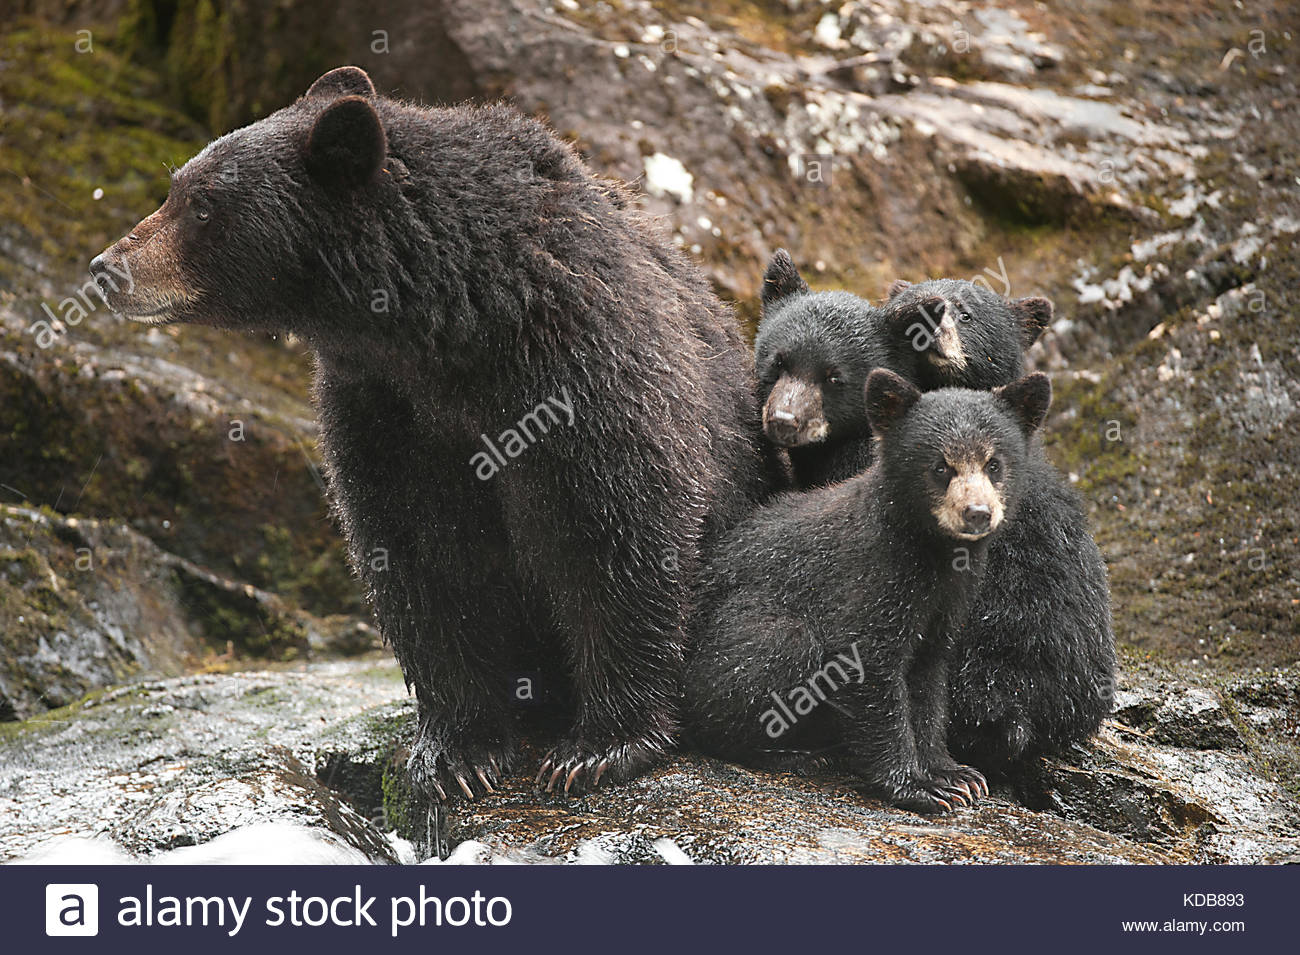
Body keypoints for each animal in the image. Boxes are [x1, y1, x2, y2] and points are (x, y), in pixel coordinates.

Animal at [89, 66, 773, 800]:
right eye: (177, 187)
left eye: (202, 204)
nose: (106, 267)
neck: (448, 324)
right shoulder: (386, 409)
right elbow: (422, 556)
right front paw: (459, 752)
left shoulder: (575, 363)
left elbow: (613, 526)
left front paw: (598, 745)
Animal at [684, 368, 1053, 813]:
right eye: (941, 466)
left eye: (994, 463)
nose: (977, 513)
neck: (931, 552)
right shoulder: (871, 579)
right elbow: (868, 670)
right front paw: (917, 785)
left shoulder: (947, 602)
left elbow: (929, 678)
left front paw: (955, 774)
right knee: (779, 643)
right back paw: (793, 753)